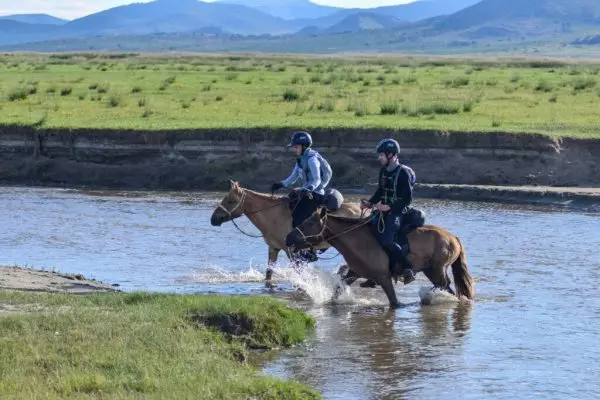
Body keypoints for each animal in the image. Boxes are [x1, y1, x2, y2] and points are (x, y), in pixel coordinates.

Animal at [209, 182, 364, 280]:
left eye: (231, 201)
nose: (213, 219)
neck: (274, 215)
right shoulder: (273, 248)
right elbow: (269, 273)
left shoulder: (292, 252)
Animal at [284, 208, 476, 308]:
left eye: (309, 223)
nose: (288, 238)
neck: (358, 239)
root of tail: (453, 238)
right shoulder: (353, 273)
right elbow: (336, 293)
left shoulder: (384, 278)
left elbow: (395, 303)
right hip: (431, 271)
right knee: (447, 288)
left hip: (437, 269)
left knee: (445, 287)